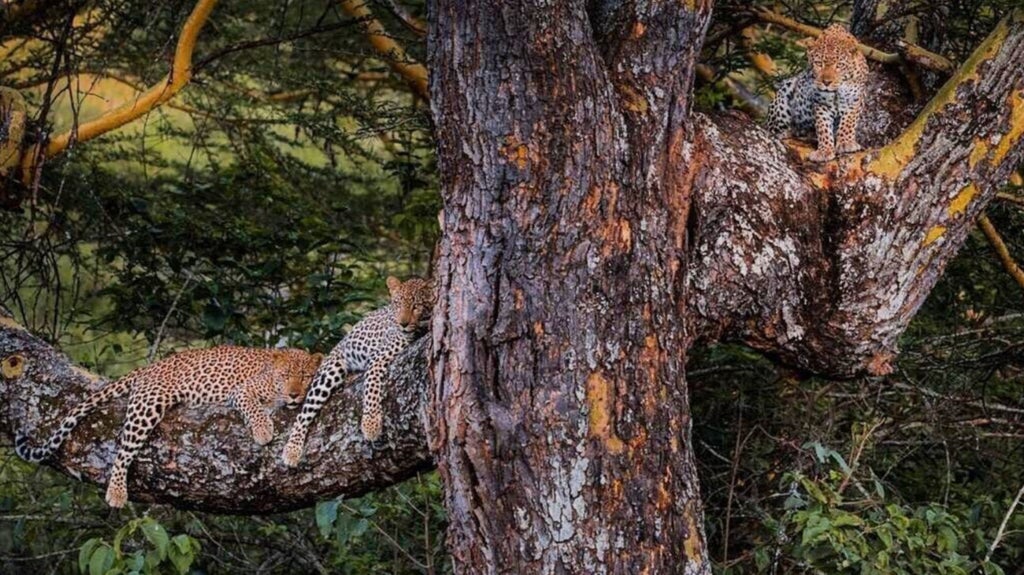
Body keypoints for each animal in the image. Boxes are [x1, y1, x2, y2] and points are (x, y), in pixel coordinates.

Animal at [19, 343, 323, 505]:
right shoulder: (242, 391)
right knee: (123, 450)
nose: (294, 394)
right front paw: (263, 430)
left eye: (306, 377)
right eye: (286, 375)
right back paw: (116, 492)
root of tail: (152, 366)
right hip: (148, 405)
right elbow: (254, 409)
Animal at [282, 274, 434, 466]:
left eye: (416, 306)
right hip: (330, 372)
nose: (403, 324)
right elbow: (371, 388)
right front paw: (370, 424)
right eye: (397, 304)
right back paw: (291, 451)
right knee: (303, 415)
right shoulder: (377, 357)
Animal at [765, 22, 868, 161]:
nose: (826, 82)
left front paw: (846, 143)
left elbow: (848, 122)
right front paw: (824, 151)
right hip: (787, 89)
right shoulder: (820, 103)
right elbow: (823, 126)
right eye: (819, 63)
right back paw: (787, 132)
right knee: (771, 128)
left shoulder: (854, 100)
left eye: (840, 65)